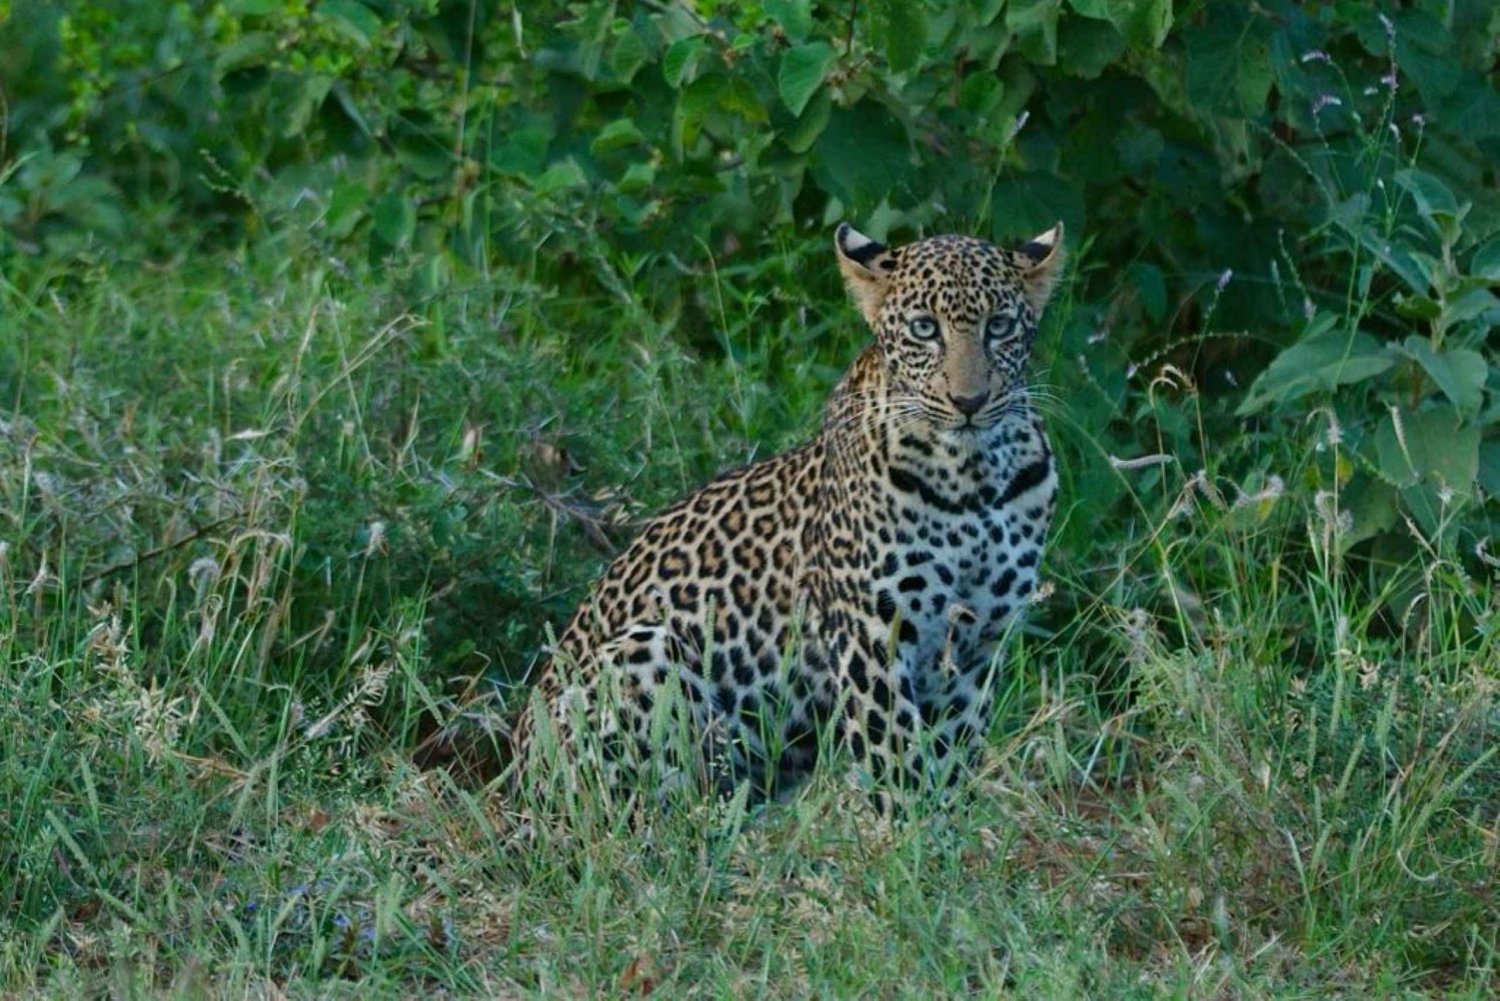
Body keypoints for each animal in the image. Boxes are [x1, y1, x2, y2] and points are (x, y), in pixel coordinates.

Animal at [516, 220, 1068, 816]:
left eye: (1000, 326)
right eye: (925, 329)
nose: (969, 401)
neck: (974, 480)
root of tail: (519, 786)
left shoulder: (978, 645)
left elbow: (951, 754)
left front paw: (947, 828)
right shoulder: (872, 635)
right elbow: (897, 756)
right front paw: (911, 830)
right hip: (647, 649)